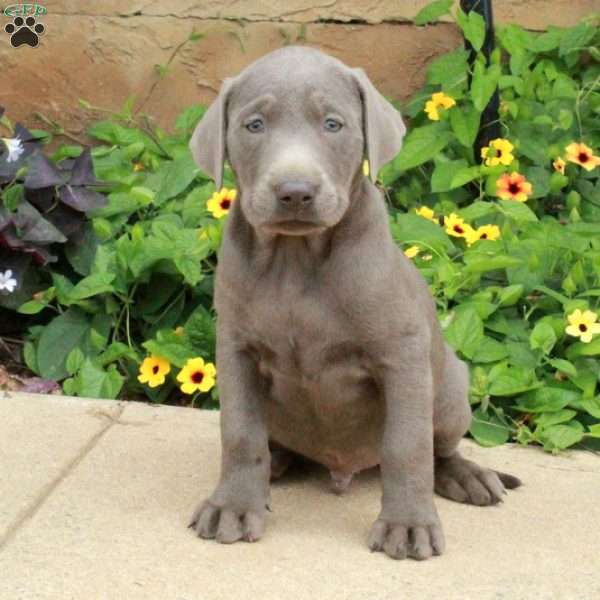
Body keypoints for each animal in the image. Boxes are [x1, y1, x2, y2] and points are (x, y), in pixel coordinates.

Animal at [189, 48, 520, 564]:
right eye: (254, 125)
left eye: (333, 124)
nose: (295, 192)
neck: (296, 259)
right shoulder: (236, 348)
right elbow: (240, 432)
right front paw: (235, 505)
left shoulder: (402, 354)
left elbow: (408, 446)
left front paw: (408, 524)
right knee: (270, 441)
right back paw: (274, 466)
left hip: (450, 393)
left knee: (438, 448)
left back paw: (466, 476)